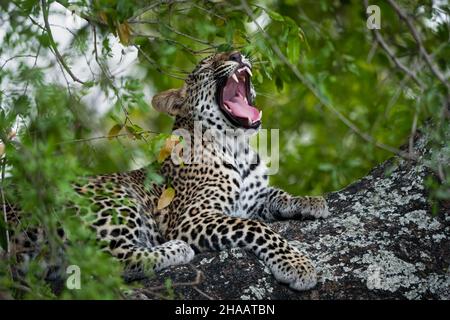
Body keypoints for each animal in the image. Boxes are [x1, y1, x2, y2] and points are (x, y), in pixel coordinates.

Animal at [6, 50, 330, 292]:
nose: (238, 54)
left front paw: (309, 202)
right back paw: (175, 250)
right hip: (113, 200)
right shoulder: (191, 217)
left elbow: (275, 194)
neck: (237, 146)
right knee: (106, 262)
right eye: (206, 64)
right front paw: (297, 265)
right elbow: (256, 228)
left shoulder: (251, 199)